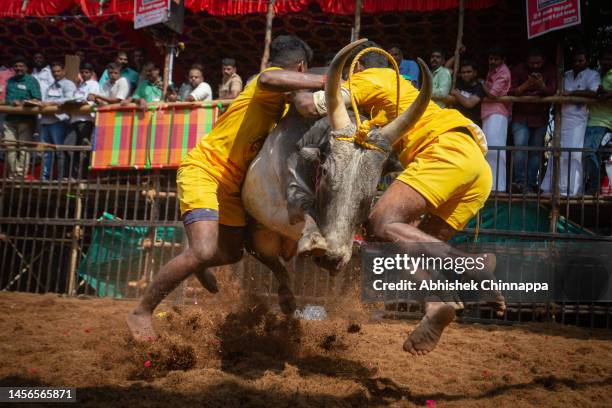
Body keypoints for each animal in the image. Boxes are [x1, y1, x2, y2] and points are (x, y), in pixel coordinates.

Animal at [239, 40, 430, 312]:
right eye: (326, 170)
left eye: (372, 187)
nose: (332, 257)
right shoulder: (292, 188)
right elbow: (303, 207)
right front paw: (316, 242)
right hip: (257, 237)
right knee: (273, 262)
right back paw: (287, 300)